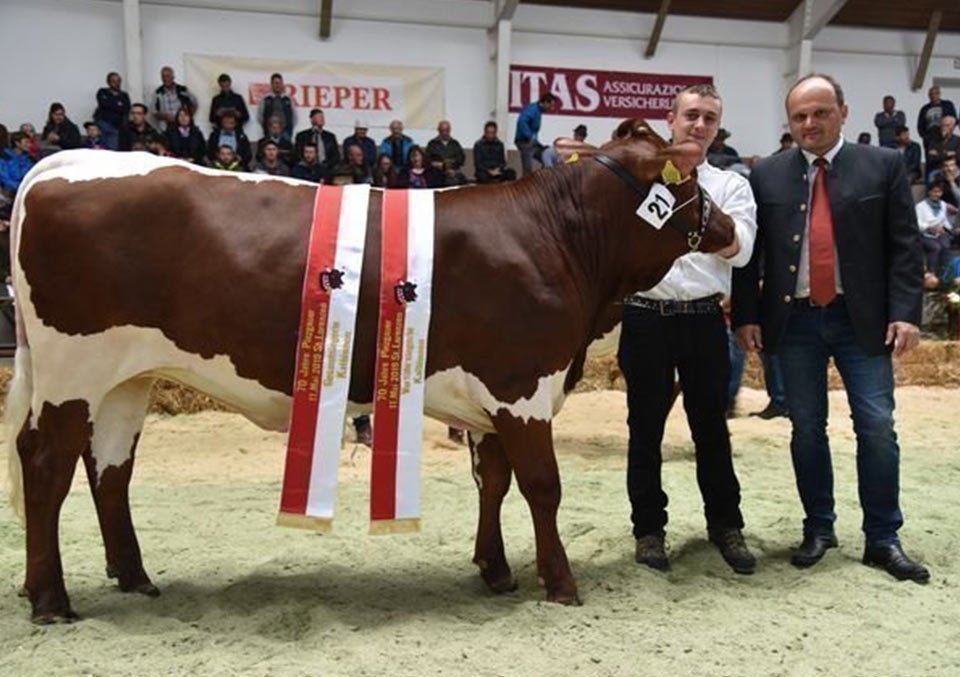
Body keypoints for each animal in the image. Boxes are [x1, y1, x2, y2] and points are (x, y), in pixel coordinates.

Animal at [5, 119, 736, 620]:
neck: (555, 237)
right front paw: (559, 583)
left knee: (109, 470)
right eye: (691, 183)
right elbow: (542, 486)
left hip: (125, 378)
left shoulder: (492, 398)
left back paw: (132, 577)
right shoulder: (524, 386)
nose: (730, 229)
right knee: (44, 466)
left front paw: (495, 569)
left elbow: (494, 484)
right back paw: (50, 599)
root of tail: (63, 163)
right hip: (72, 370)